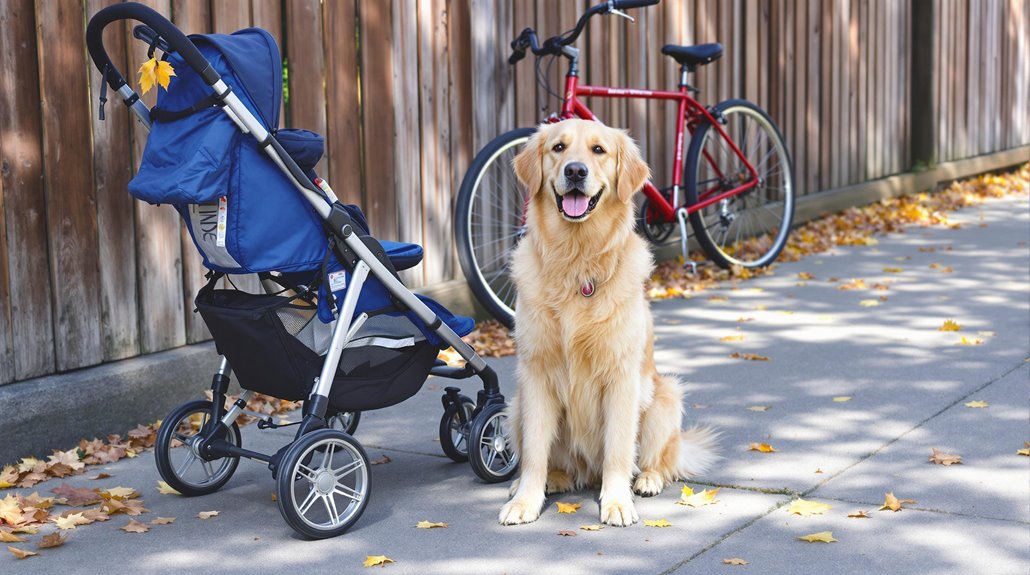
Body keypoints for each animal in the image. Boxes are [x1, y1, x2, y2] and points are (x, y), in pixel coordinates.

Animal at [498, 119, 716, 531]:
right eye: (559, 147)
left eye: (598, 150)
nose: (575, 171)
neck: (577, 261)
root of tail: (587, 472)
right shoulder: (535, 375)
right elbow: (534, 452)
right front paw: (525, 501)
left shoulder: (621, 377)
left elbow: (618, 450)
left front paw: (617, 503)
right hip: (515, 405)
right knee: (554, 461)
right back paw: (550, 479)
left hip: (665, 398)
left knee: (660, 460)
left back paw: (646, 479)